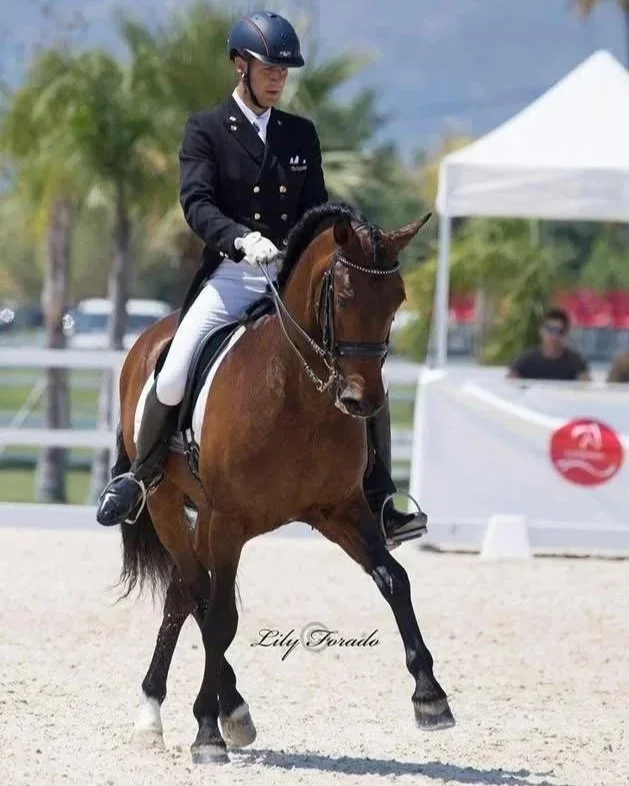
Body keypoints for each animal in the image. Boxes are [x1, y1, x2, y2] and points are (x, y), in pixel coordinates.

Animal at [112, 202, 455, 764]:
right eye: (343, 295)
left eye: (399, 298)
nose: (363, 402)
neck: (295, 391)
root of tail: (150, 335)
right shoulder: (229, 521)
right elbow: (222, 619)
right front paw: (206, 732)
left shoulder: (340, 509)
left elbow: (394, 579)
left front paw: (430, 696)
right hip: (168, 504)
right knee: (195, 594)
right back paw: (171, 715)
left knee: (185, 594)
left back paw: (210, 710)